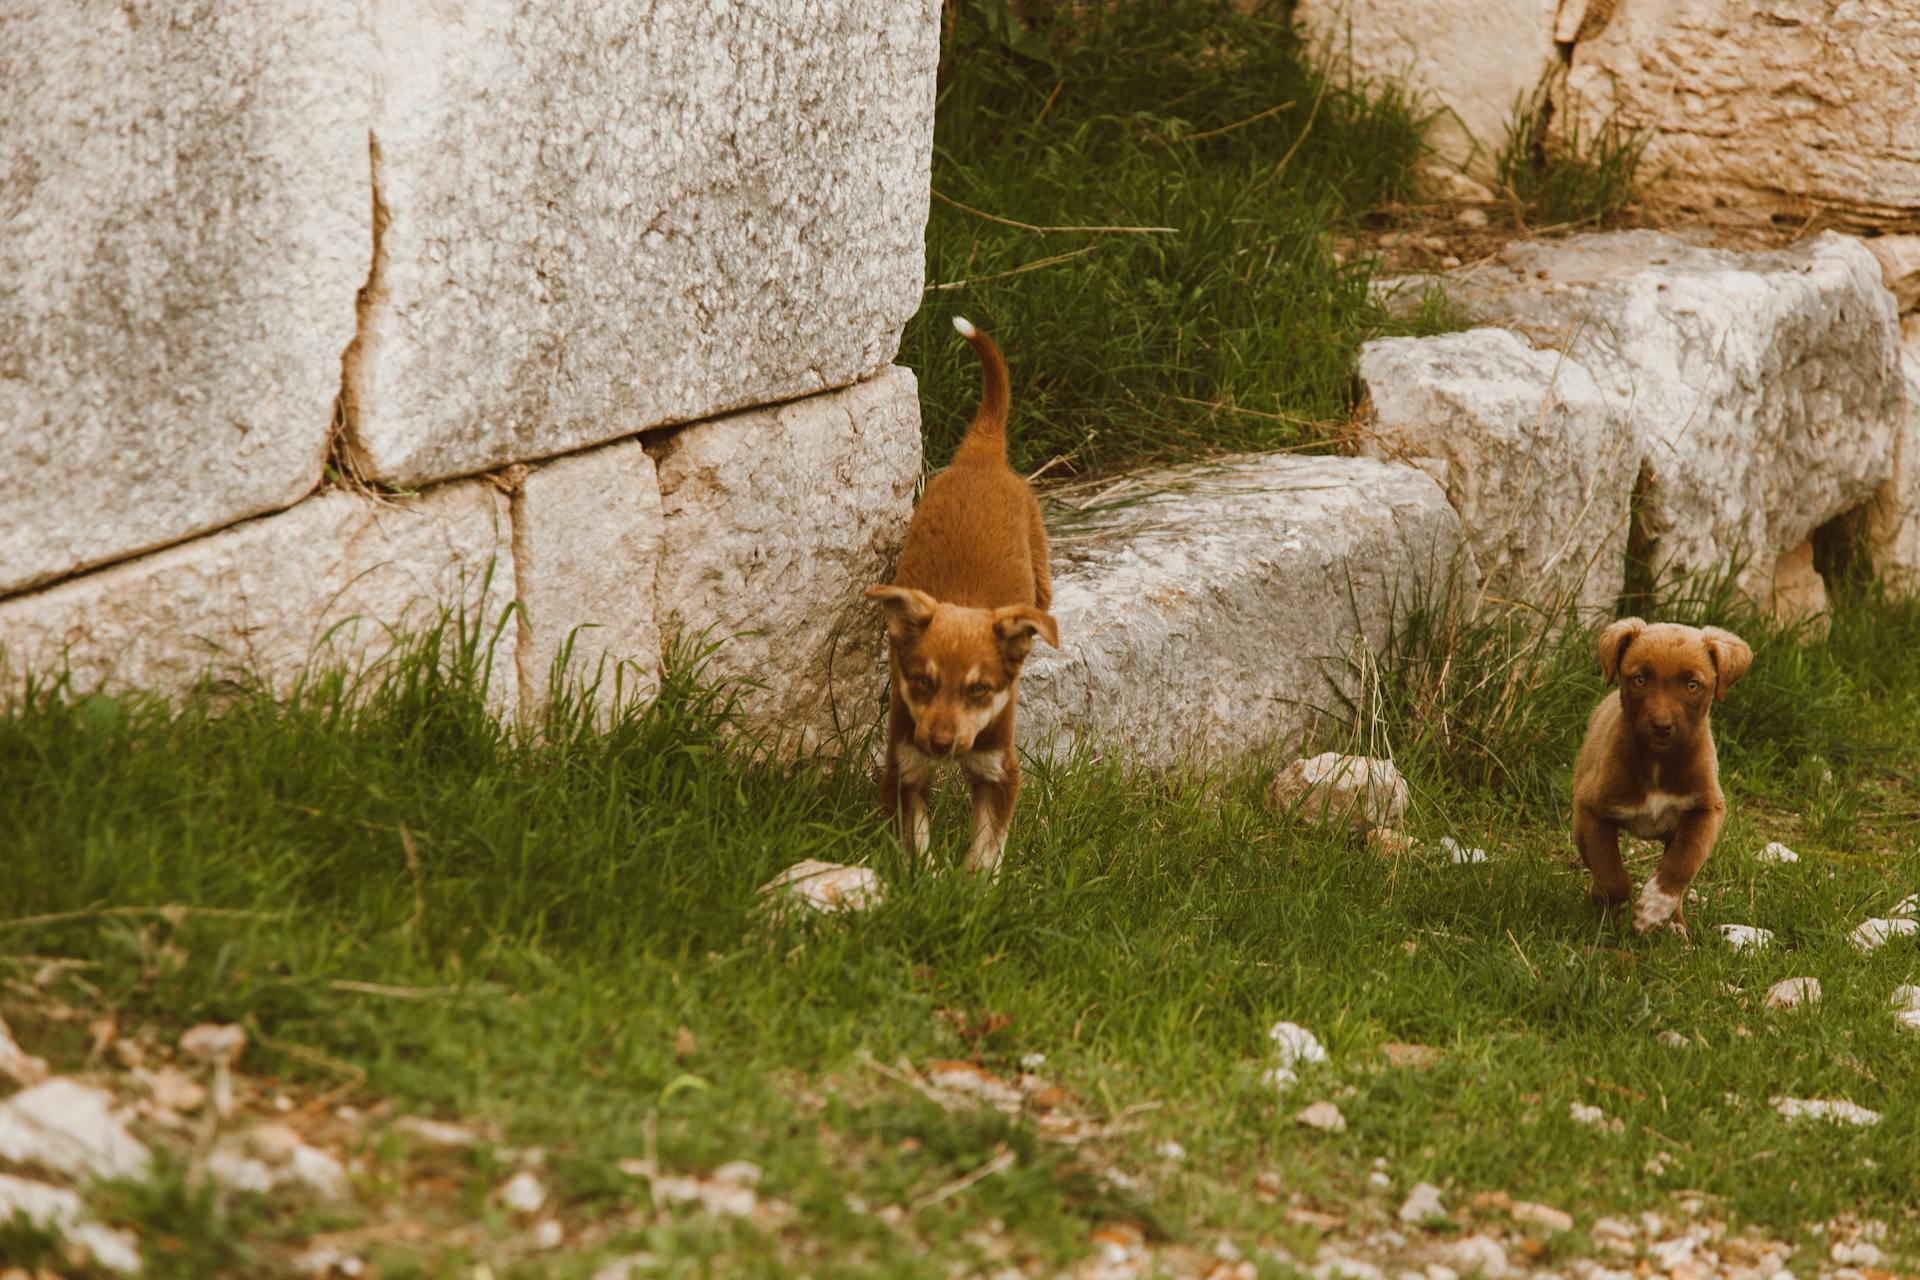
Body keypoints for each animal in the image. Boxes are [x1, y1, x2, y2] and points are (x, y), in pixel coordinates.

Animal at [864, 318, 1059, 875]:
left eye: (980, 690)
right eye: (921, 682)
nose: (940, 742)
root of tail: (983, 453)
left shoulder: (999, 770)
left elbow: (988, 845)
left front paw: (972, 884)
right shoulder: (904, 765)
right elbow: (916, 836)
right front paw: (927, 879)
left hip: (1042, 575)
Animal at [1574, 614, 1758, 936]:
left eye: (1693, 685)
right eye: (1640, 679)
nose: (1661, 726)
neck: (1658, 761)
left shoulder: (1706, 810)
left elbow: (1681, 864)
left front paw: (1653, 910)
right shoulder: (1592, 810)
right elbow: (1611, 873)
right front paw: (1610, 901)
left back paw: (1675, 923)